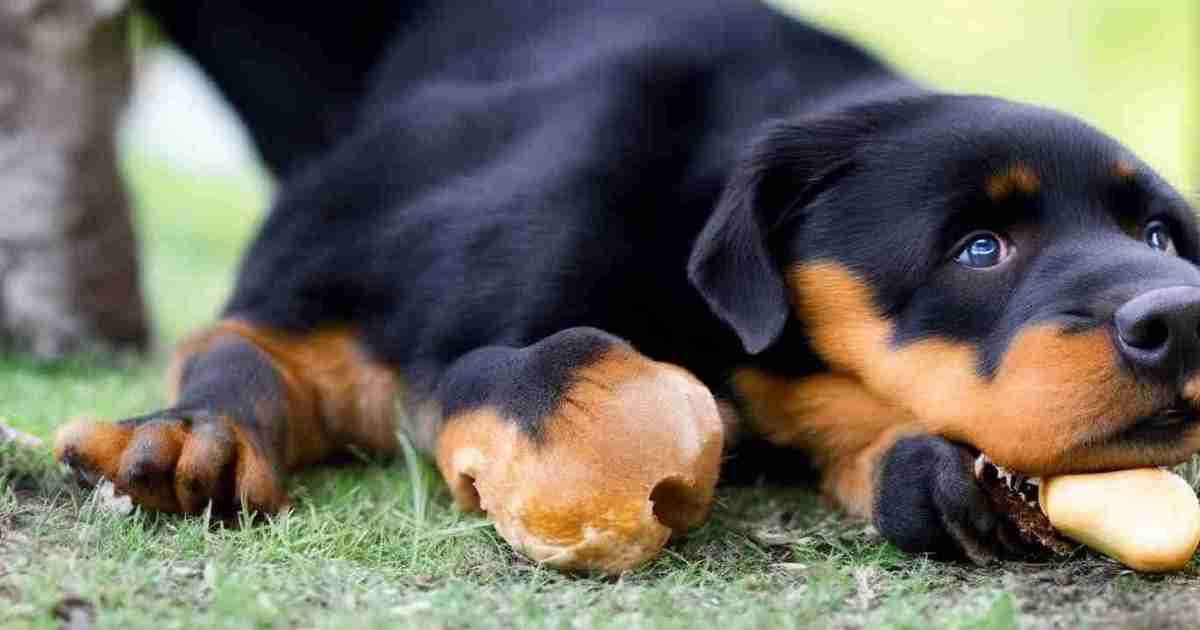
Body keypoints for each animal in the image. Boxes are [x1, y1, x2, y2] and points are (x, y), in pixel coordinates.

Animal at [54, 0, 1200, 568]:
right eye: (978, 248)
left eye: (1159, 233)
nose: (1183, 321)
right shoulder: (344, 326)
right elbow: (544, 366)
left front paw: (922, 468)